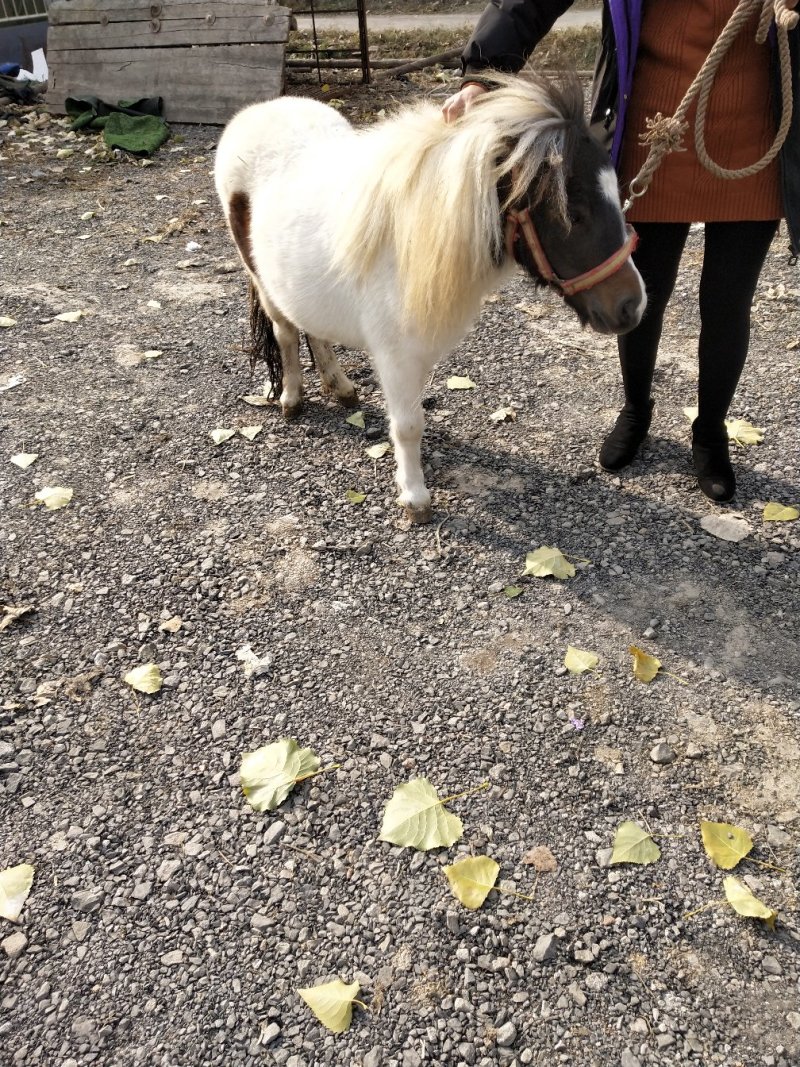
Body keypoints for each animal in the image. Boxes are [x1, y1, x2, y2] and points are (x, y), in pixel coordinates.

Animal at [214, 70, 646, 523]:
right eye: (572, 213)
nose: (633, 305)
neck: (410, 239)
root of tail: (257, 112)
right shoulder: (396, 357)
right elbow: (407, 426)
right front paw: (415, 497)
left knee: (314, 331)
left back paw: (340, 386)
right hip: (263, 281)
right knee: (286, 335)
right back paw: (292, 399)